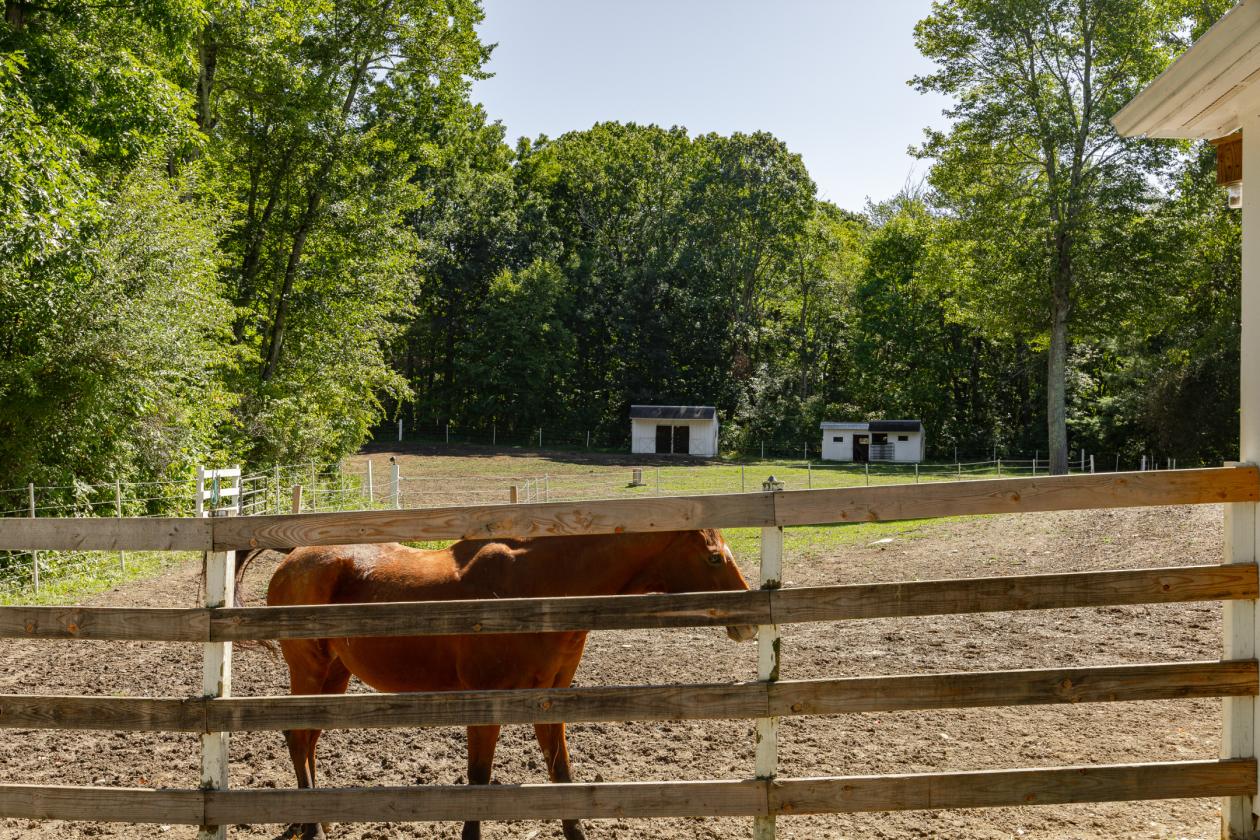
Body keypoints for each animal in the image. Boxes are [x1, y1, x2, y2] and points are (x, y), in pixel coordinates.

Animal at [238, 528, 755, 840]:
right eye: (714, 557)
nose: (749, 621)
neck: (537, 591)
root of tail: (296, 555)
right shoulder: (487, 703)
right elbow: (479, 779)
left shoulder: (548, 701)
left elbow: (561, 774)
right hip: (310, 670)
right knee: (297, 736)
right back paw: (312, 825)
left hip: (334, 676)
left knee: (307, 739)